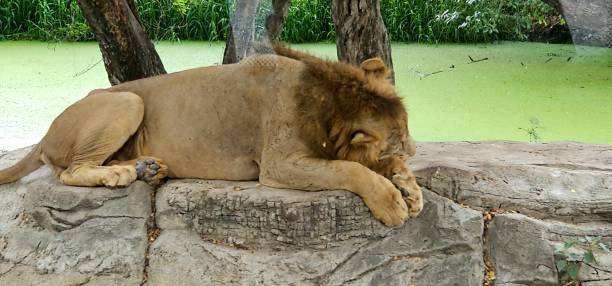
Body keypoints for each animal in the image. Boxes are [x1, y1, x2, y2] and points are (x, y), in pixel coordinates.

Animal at [0, 45, 420, 227]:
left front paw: (410, 189)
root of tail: (45, 134)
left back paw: (147, 168)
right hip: (127, 100)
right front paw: (392, 204)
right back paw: (122, 174)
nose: (415, 149)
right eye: (401, 135)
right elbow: (351, 171)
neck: (327, 105)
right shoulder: (278, 165)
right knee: (71, 171)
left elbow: (378, 164)